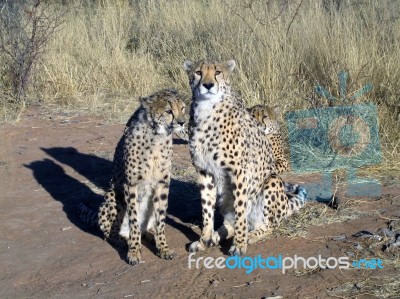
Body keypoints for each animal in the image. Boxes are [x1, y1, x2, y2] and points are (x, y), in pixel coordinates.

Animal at [80, 88, 188, 264]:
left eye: (183, 108)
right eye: (168, 111)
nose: (182, 122)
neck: (156, 136)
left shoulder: (162, 184)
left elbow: (161, 222)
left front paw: (163, 248)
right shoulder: (131, 184)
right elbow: (134, 221)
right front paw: (134, 251)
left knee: (147, 228)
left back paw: (150, 235)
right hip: (113, 195)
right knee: (110, 233)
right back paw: (122, 241)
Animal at [184, 59, 306, 256]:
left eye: (217, 72)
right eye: (198, 72)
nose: (208, 85)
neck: (206, 110)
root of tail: (286, 205)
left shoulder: (239, 171)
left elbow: (241, 210)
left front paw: (240, 244)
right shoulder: (204, 171)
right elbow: (206, 210)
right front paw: (204, 240)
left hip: (272, 181)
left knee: (269, 225)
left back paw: (251, 235)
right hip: (224, 198)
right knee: (230, 224)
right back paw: (217, 236)